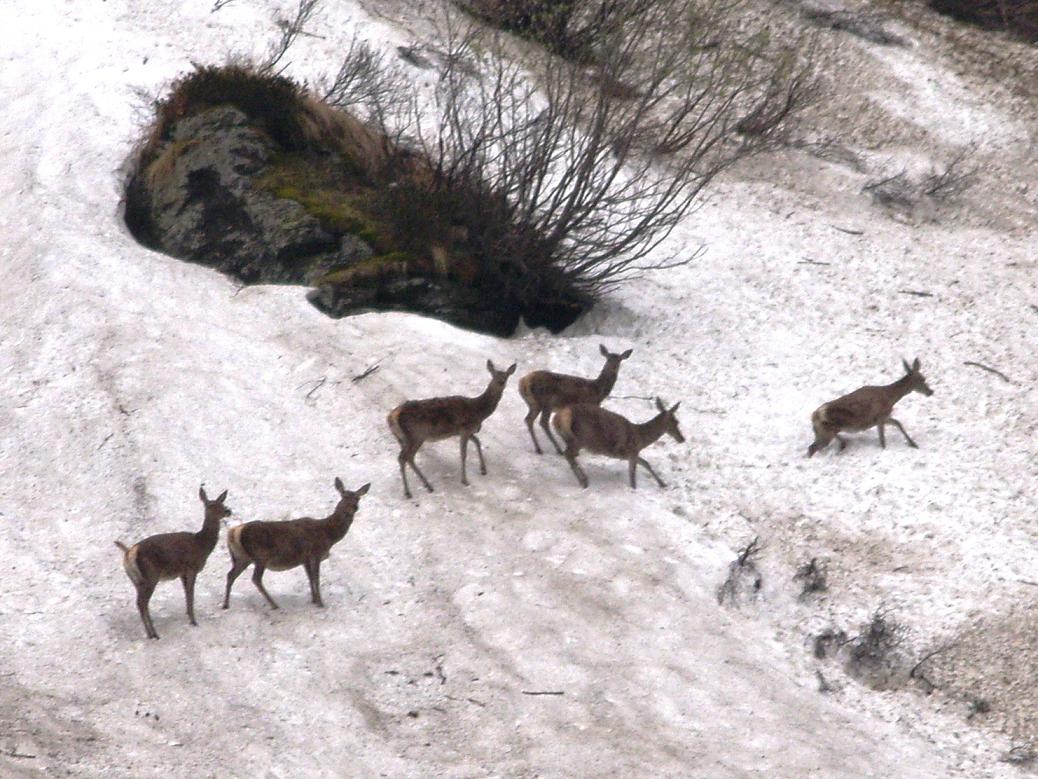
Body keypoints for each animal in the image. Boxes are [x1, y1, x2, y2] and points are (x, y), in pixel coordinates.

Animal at [115, 488, 233, 639]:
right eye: (211, 505)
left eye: (222, 503)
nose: (228, 511)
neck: (202, 545)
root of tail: (130, 553)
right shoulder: (191, 567)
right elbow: (191, 594)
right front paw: (194, 621)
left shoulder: (182, 572)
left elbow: (186, 593)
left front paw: (188, 615)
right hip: (151, 576)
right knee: (142, 603)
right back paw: (154, 634)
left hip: (136, 580)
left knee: (141, 603)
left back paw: (150, 632)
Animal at [222, 479, 369, 614]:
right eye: (344, 496)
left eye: (358, 497)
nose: (354, 507)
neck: (329, 534)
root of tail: (234, 532)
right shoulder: (315, 553)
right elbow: (316, 579)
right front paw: (320, 603)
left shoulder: (305, 559)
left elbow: (310, 579)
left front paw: (314, 600)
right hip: (260, 555)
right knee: (255, 578)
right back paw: (274, 605)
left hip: (242, 557)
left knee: (230, 575)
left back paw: (225, 605)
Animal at [388, 359, 516, 500]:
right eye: (494, 375)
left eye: (506, 376)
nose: (501, 382)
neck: (479, 411)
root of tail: (392, 416)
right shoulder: (465, 429)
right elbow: (463, 454)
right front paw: (465, 480)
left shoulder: (464, 431)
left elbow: (478, 442)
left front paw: (483, 469)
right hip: (416, 435)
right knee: (404, 458)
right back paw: (409, 492)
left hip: (404, 439)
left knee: (408, 458)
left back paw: (427, 486)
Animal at [548, 398, 685, 490]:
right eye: (676, 422)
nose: (682, 438)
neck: (640, 437)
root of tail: (558, 417)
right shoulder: (632, 451)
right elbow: (633, 473)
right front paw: (634, 488)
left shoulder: (631, 454)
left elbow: (646, 463)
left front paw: (663, 484)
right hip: (582, 438)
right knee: (568, 454)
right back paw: (584, 481)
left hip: (572, 438)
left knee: (568, 455)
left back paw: (582, 479)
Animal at [801, 359, 934, 457]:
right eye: (922, 379)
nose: (930, 392)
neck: (890, 397)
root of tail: (814, 416)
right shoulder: (880, 417)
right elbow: (883, 438)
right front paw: (885, 449)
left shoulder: (882, 418)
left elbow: (898, 423)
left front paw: (913, 444)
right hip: (825, 433)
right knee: (811, 448)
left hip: (827, 432)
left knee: (825, 444)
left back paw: (842, 445)